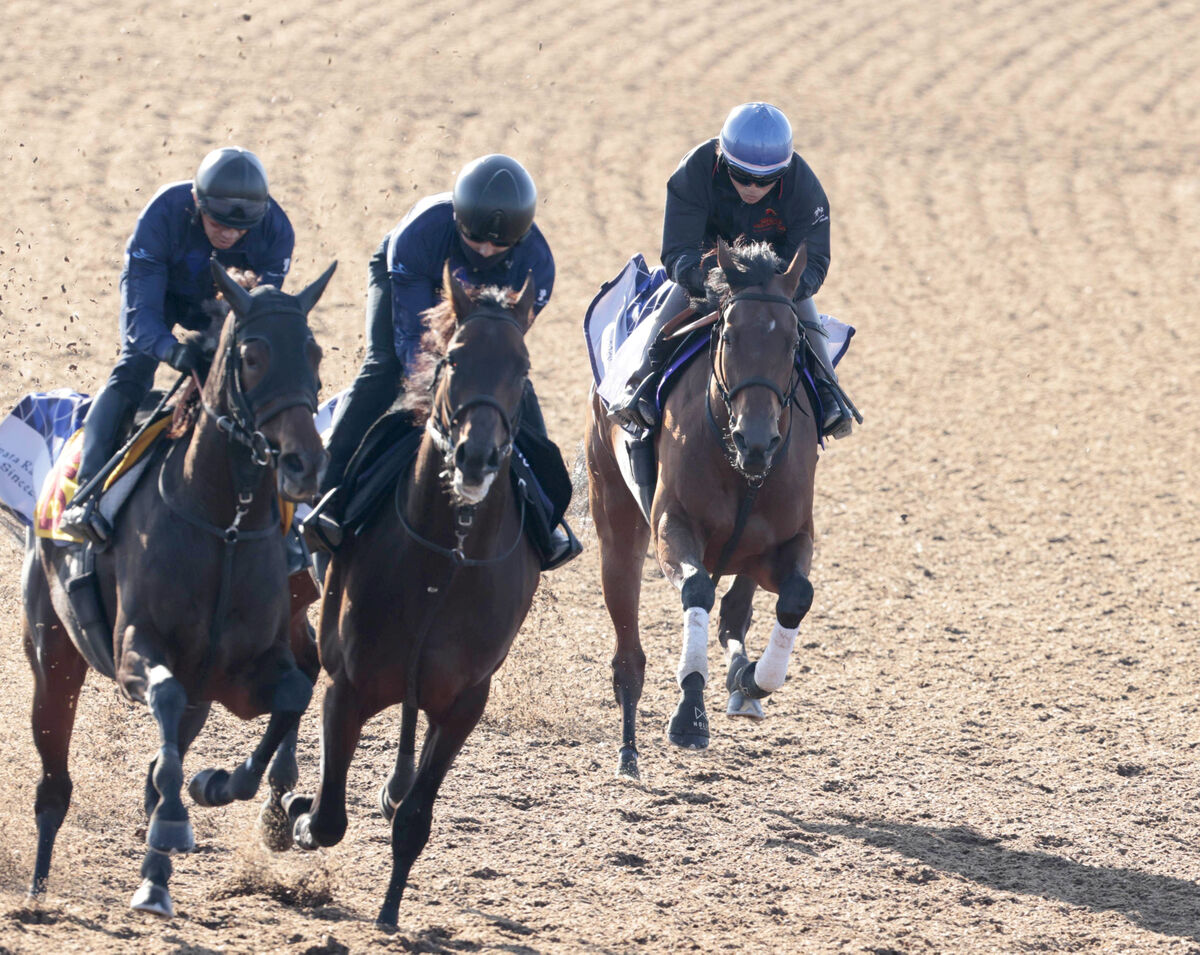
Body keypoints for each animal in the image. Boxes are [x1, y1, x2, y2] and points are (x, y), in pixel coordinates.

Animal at [19, 261, 338, 916]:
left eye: (314, 351)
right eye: (251, 355)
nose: (303, 464)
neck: (224, 526)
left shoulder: (236, 672)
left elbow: (294, 693)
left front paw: (217, 784)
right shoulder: (134, 651)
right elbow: (162, 704)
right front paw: (175, 820)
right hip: (52, 654)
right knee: (54, 784)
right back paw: (40, 890)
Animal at [285, 265, 540, 931]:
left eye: (523, 367)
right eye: (453, 359)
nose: (476, 456)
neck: (444, 558)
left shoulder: (466, 701)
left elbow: (415, 819)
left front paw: (391, 910)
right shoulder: (347, 685)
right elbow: (327, 817)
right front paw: (294, 816)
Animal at [585, 236, 820, 777]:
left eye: (793, 341)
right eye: (729, 336)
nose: (757, 440)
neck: (740, 469)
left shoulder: (786, 540)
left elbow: (796, 596)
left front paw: (753, 679)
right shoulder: (673, 524)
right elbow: (696, 589)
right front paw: (690, 714)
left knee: (735, 612)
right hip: (615, 518)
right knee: (628, 653)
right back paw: (628, 751)